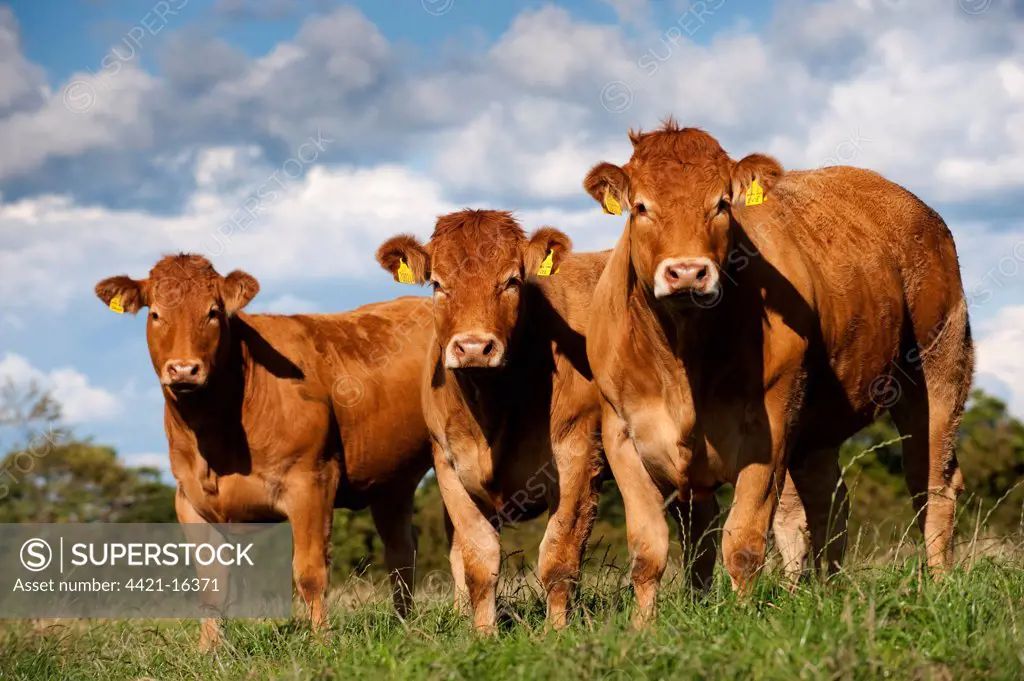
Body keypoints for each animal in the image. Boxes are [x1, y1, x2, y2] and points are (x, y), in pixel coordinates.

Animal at [94, 251, 434, 647]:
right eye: (156, 314)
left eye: (213, 312)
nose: (183, 369)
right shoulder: (189, 500)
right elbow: (211, 586)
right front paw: (208, 650)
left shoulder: (312, 480)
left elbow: (310, 572)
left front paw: (323, 644)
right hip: (391, 481)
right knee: (401, 548)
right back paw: (405, 624)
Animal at [378, 210, 602, 630]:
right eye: (437, 284)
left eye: (512, 280)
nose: (473, 347)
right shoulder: (449, 466)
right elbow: (479, 561)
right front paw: (484, 632)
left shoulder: (577, 454)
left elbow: (558, 555)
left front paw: (556, 632)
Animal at [581, 120, 970, 622]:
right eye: (641, 206)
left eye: (721, 204)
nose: (687, 273)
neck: (682, 357)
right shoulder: (623, 434)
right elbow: (651, 550)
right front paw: (643, 629)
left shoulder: (769, 426)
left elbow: (744, 542)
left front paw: (741, 621)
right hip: (818, 424)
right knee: (828, 502)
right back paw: (824, 592)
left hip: (938, 367)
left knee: (931, 483)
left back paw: (940, 586)